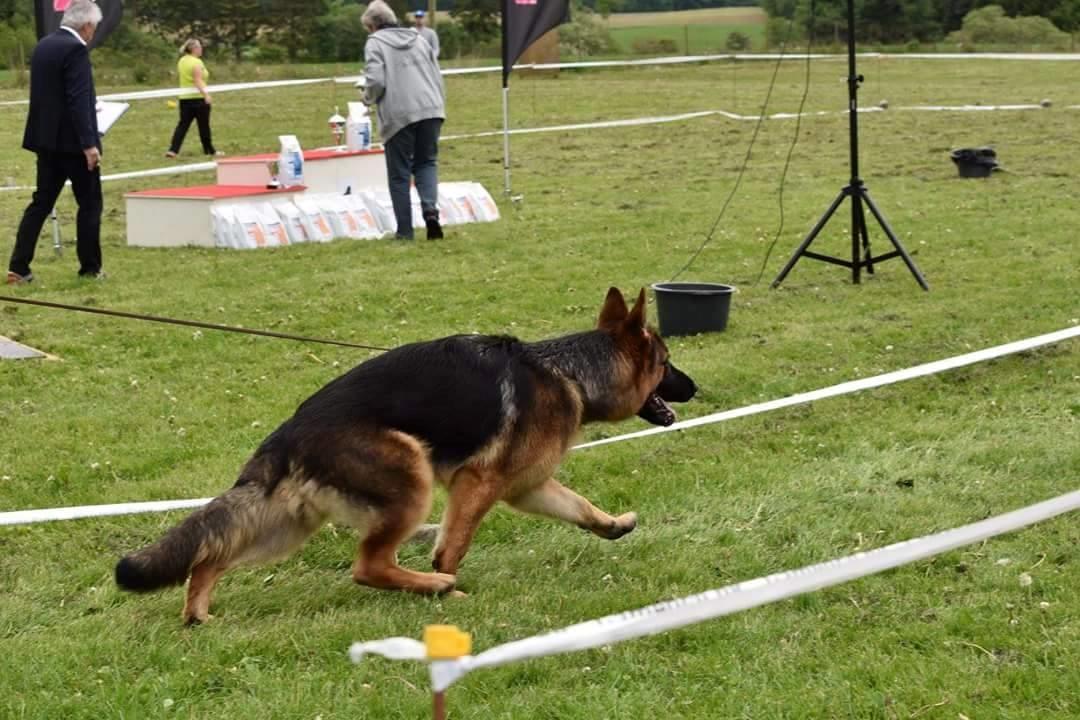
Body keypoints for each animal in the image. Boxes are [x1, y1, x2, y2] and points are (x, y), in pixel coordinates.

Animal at [116, 289, 691, 626]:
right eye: (666, 363)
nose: (696, 387)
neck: (569, 372)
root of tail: (287, 434)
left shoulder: (527, 486)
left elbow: (581, 507)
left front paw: (614, 525)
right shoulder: (478, 483)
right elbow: (453, 545)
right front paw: (448, 584)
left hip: (285, 525)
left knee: (211, 553)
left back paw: (198, 613)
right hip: (411, 479)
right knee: (369, 566)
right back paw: (435, 589)